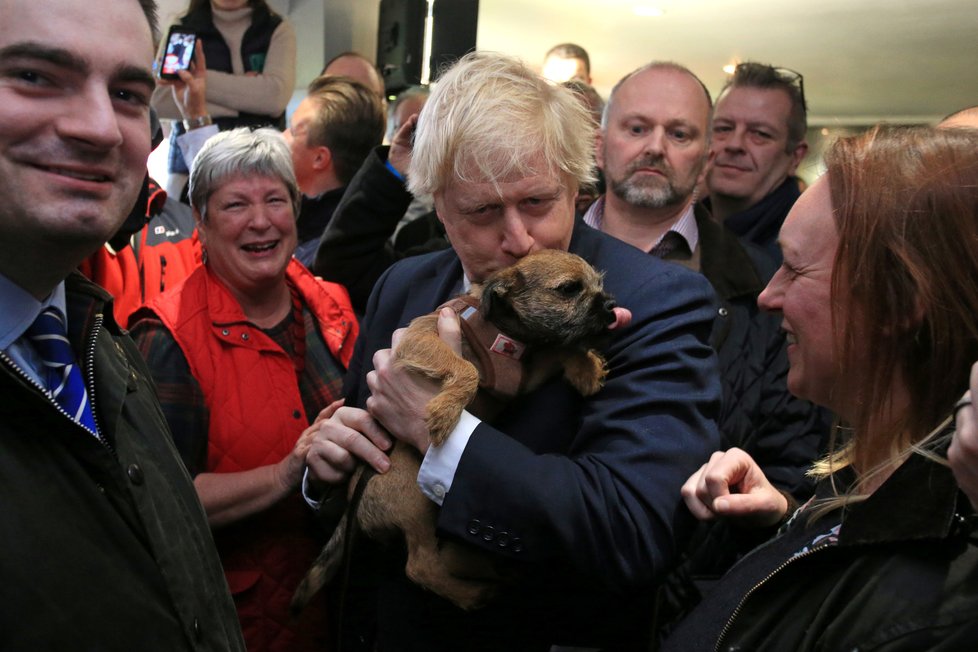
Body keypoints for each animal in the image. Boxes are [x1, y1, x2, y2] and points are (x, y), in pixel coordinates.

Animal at [286, 248, 616, 612]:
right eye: (569, 289)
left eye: (598, 284)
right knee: (421, 566)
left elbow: (560, 349)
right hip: (414, 497)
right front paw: (445, 411)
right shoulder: (420, 339)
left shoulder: (523, 379)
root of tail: (353, 507)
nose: (611, 307)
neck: (504, 332)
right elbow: (467, 368)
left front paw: (586, 368)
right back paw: (475, 592)